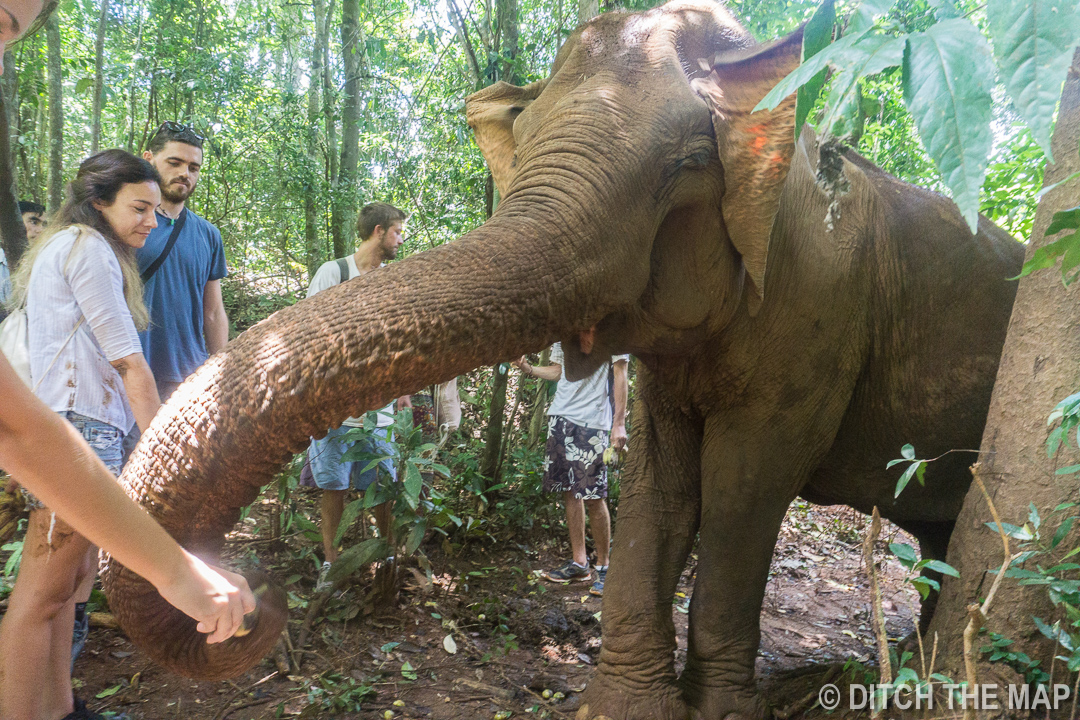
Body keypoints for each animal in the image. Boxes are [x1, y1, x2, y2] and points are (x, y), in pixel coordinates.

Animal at [99, 2, 1019, 716]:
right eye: (525, 140)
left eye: (689, 166)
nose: (257, 599)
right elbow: (659, 486)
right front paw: (625, 708)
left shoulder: (819, 316)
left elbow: (741, 490)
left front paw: (722, 710)